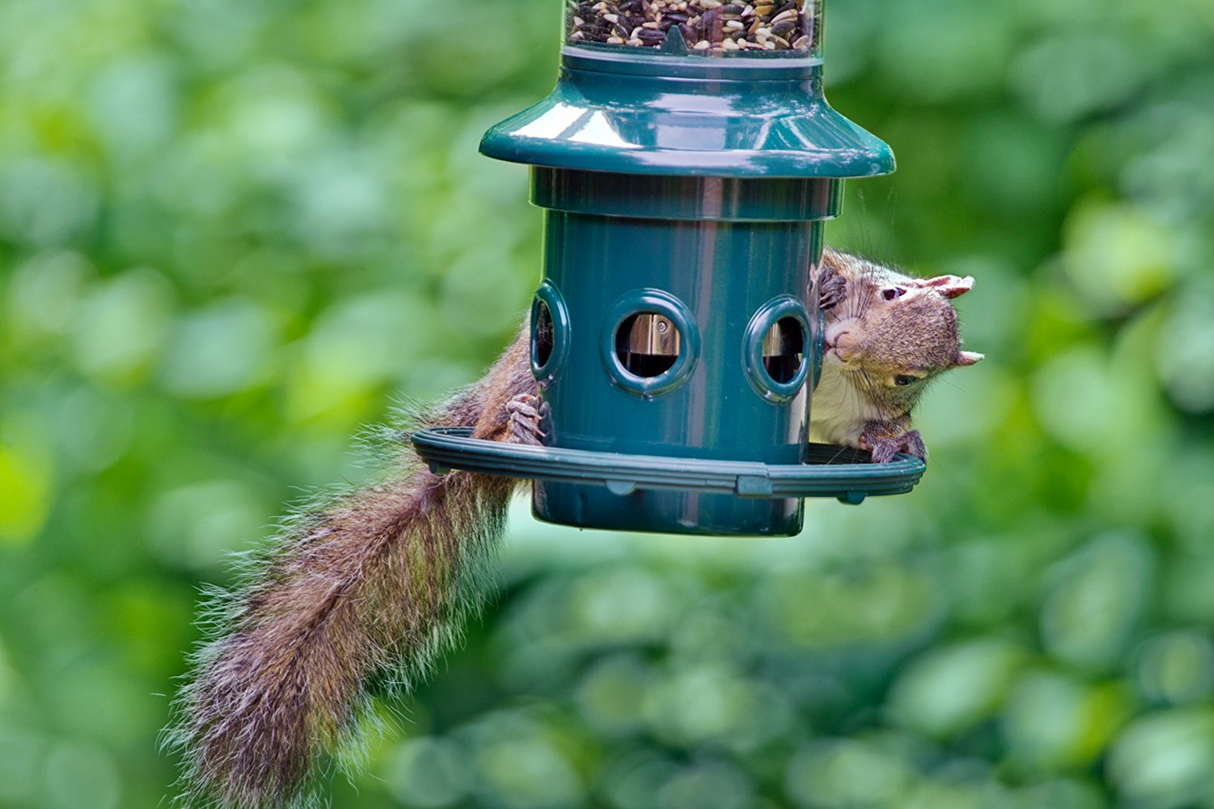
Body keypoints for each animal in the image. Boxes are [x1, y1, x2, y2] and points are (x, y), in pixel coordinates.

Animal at [171, 247, 980, 806]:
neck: (838, 377)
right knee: (498, 420)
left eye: (911, 376)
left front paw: (899, 444)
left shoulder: (856, 416)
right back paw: (519, 427)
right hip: (520, 373)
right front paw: (823, 285)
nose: (838, 347)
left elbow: (878, 433)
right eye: (890, 290)